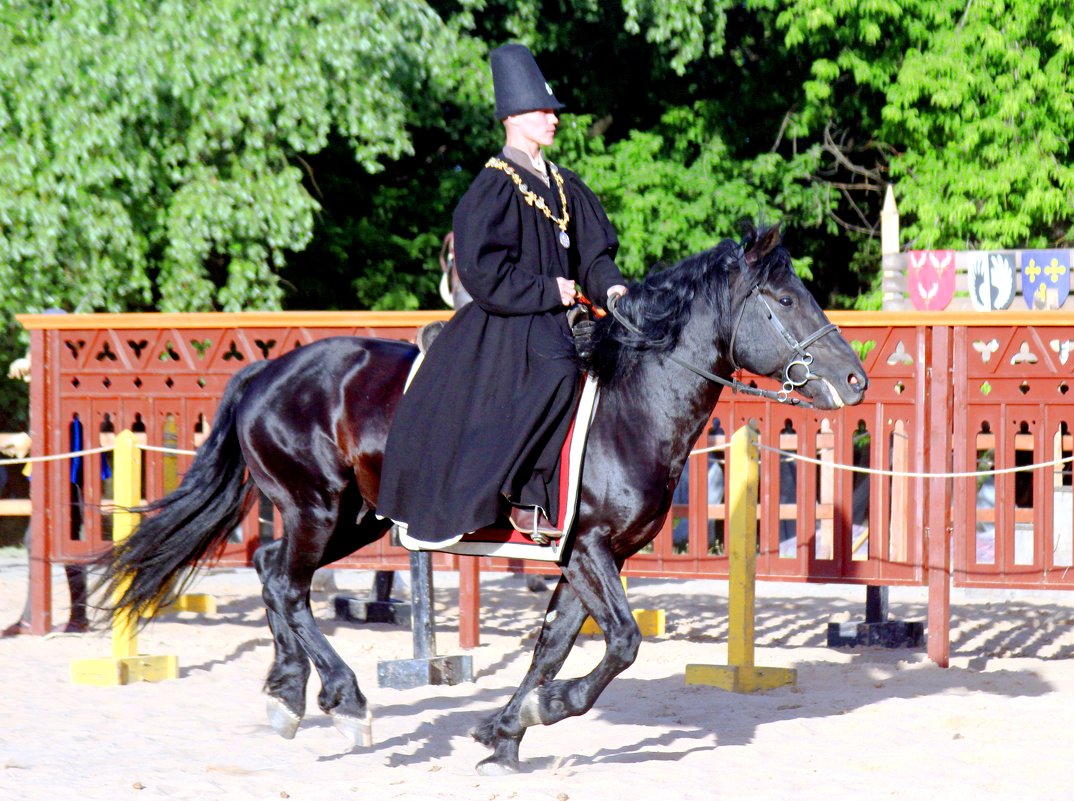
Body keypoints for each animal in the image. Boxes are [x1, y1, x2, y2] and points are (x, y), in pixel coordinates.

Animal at [104, 221, 867, 768]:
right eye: (785, 299)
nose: (856, 380)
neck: (632, 402)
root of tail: (266, 372)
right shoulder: (590, 551)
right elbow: (621, 643)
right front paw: (541, 711)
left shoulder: (585, 557)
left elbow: (553, 646)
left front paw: (504, 731)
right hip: (315, 507)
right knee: (288, 586)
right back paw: (346, 702)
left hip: (352, 517)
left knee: (268, 571)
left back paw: (288, 692)